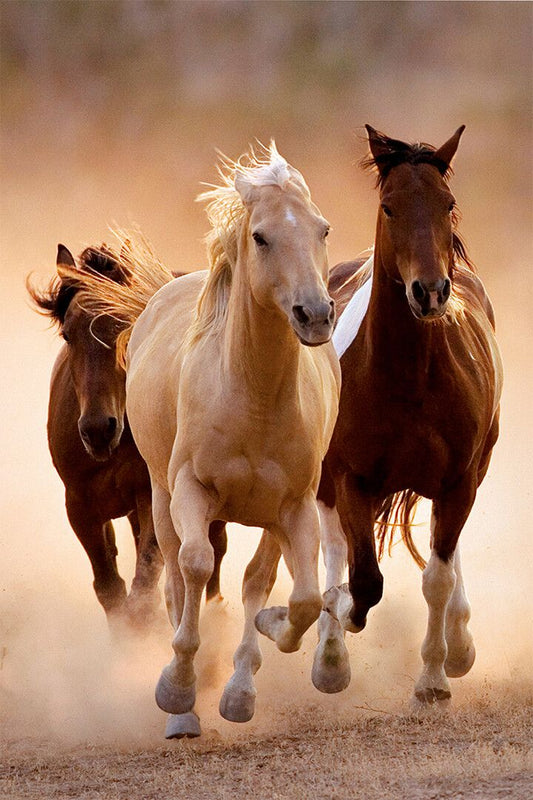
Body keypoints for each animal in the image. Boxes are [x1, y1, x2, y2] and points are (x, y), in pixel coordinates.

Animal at [27, 243, 228, 633]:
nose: (97, 429)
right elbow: (110, 588)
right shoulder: (80, 506)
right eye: (68, 334)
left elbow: (145, 583)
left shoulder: (152, 495)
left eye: (126, 326)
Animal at [72, 143, 341, 738]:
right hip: (159, 496)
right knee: (176, 576)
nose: (315, 314)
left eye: (323, 229)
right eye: (260, 236)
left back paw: (239, 683)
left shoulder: (294, 507)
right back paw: (185, 709)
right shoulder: (190, 492)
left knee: (257, 578)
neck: (252, 398)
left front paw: (263, 647)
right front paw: (176, 689)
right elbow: (193, 569)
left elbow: (299, 598)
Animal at [319, 125, 503, 711]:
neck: (410, 379)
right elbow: (363, 581)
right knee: (334, 550)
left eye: (447, 203)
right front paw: (337, 621)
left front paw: (435, 677)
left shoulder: (458, 481)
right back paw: (327, 653)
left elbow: (437, 579)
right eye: (389, 206)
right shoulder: (351, 479)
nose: (430, 291)